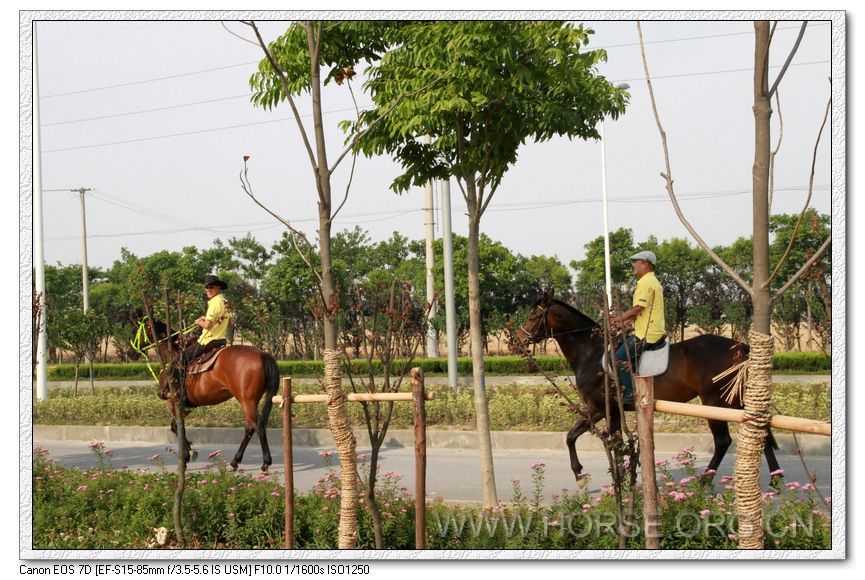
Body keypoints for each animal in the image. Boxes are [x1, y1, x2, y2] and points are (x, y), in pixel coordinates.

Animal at [146, 320, 280, 474]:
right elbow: (177, 426)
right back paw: (235, 462)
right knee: (251, 426)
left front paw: (187, 455)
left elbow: (177, 427)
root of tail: (262, 354)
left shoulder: (173, 401)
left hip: (247, 400)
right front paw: (189, 452)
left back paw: (265, 463)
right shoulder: (185, 405)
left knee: (258, 425)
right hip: (251, 401)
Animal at [512, 292, 784, 482]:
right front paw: (620, 479)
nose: (517, 341)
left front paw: (579, 473)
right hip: (736, 400)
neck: (592, 352)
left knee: (723, 441)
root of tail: (739, 347)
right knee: (761, 434)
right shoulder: (611, 412)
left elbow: (571, 436)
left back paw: (705, 481)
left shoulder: (597, 407)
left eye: (534, 316)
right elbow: (615, 444)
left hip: (715, 402)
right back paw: (776, 479)